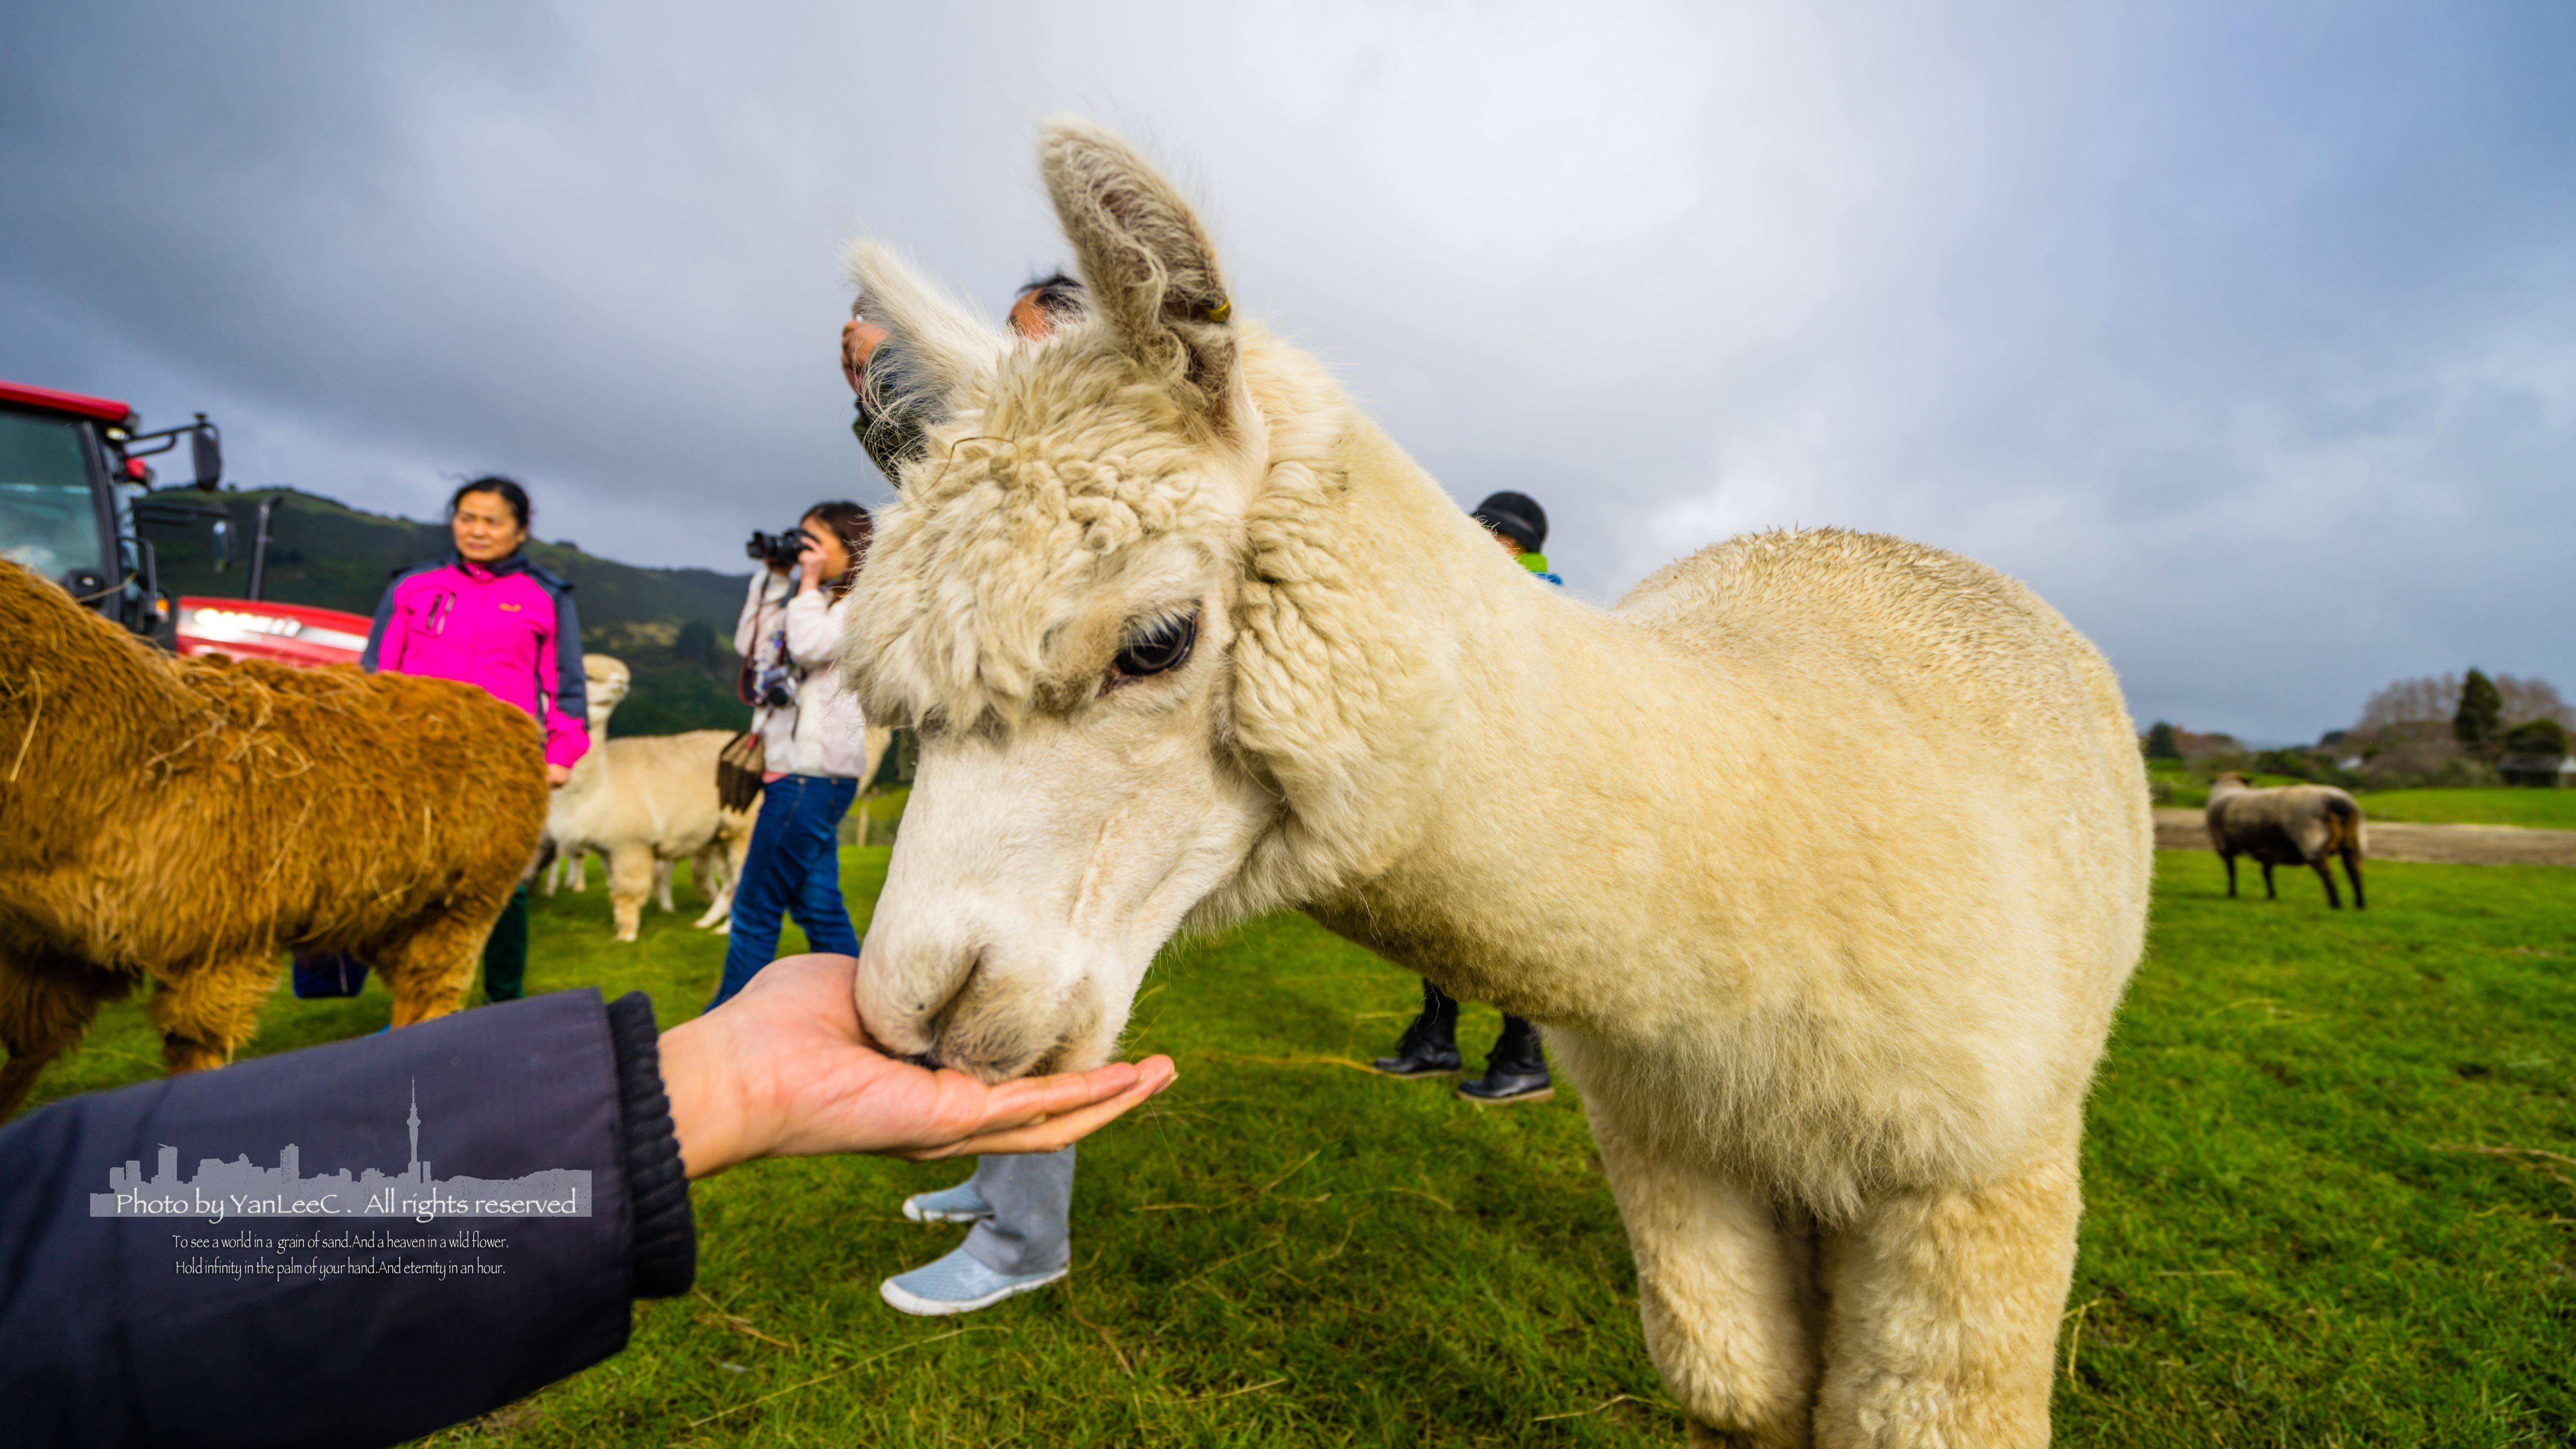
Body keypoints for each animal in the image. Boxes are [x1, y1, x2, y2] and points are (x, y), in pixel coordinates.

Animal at [836, 123, 2152, 1447]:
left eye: (1156, 641)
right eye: (900, 709)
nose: (921, 1006)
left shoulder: (1980, 1170)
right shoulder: (1675, 1151)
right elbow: (1742, 1383)